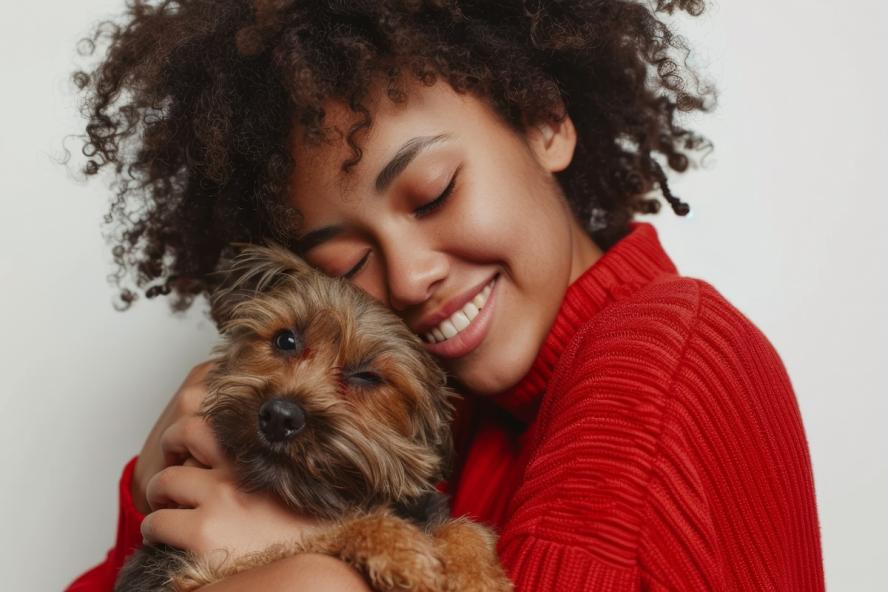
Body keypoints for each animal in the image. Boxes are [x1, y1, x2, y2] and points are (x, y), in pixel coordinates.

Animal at [114, 243, 510, 592]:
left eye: (366, 376)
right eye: (285, 340)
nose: (279, 417)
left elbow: (465, 529)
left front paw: (476, 574)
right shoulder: (193, 572)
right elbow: (312, 536)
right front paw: (399, 549)